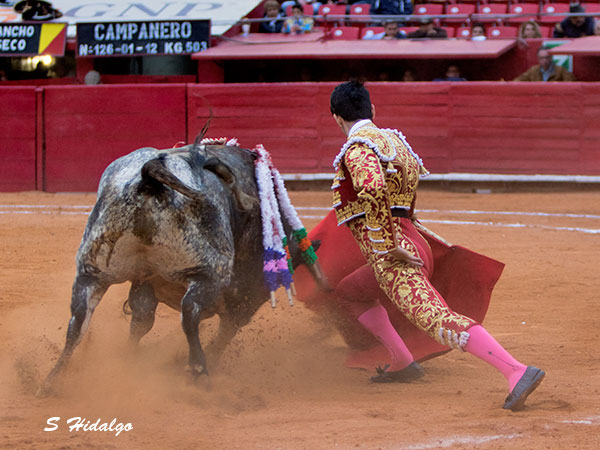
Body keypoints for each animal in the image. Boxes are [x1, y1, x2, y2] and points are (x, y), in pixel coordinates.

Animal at [37, 143, 326, 397]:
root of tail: (148, 177)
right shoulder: (242, 299)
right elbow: (224, 331)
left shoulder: (145, 281)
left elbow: (140, 321)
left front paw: (130, 361)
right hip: (210, 272)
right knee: (190, 313)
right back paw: (199, 371)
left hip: (92, 270)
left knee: (77, 323)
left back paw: (52, 381)